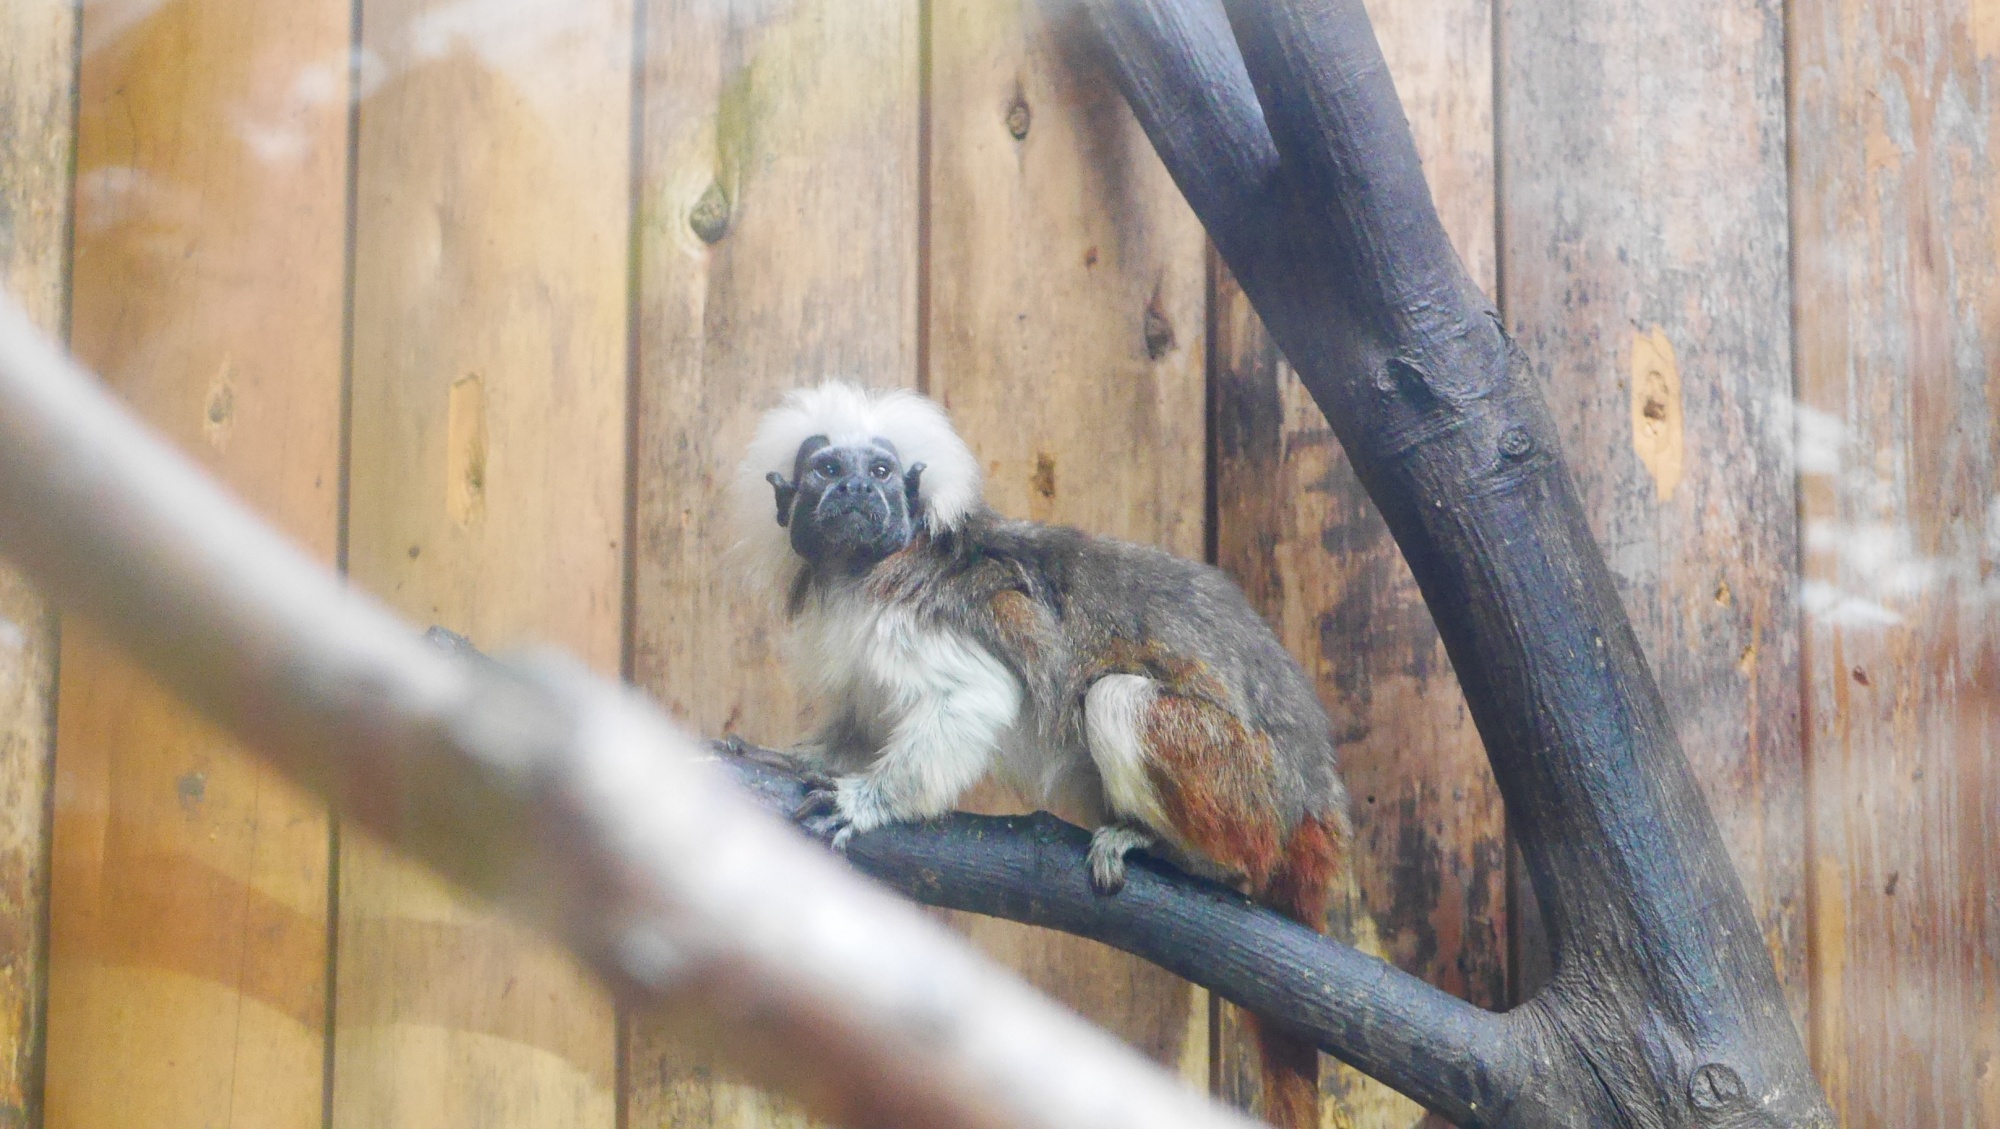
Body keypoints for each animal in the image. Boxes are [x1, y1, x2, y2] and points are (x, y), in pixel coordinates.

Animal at [740, 382, 1360, 1129]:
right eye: (828, 469)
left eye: (881, 473)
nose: (857, 488)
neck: (856, 572)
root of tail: (1315, 788)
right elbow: (860, 722)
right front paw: (791, 760)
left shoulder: (917, 615)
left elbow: (974, 697)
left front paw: (867, 801)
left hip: (1249, 785)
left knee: (1118, 698)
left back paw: (1194, 858)